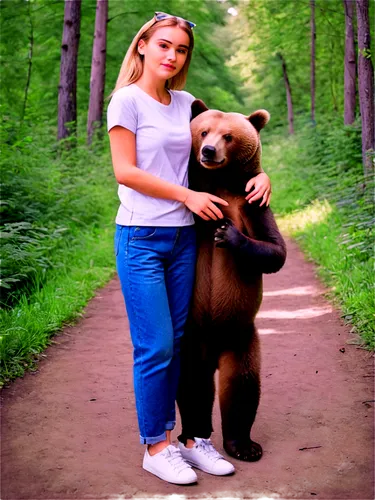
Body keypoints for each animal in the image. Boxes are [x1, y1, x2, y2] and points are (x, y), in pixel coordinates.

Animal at [178, 99, 288, 462]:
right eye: (203, 131)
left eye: (228, 135)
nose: (209, 151)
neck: (219, 182)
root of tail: (214, 349)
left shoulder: (252, 204)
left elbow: (274, 249)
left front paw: (228, 232)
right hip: (191, 336)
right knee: (191, 382)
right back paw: (193, 431)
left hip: (241, 336)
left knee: (241, 385)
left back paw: (243, 444)